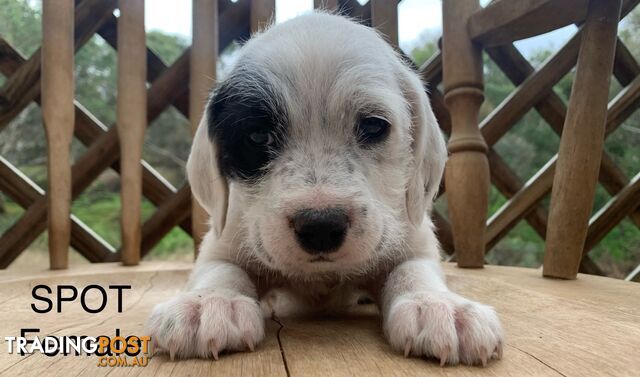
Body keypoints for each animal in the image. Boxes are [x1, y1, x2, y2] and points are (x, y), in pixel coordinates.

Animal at [148, 11, 502, 364]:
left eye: (374, 125)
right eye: (257, 137)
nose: (320, 227)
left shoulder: (414, 240)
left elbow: (413, 270)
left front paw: (436, 305)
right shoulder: (223, 240)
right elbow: (221, 270)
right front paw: (210, 302)